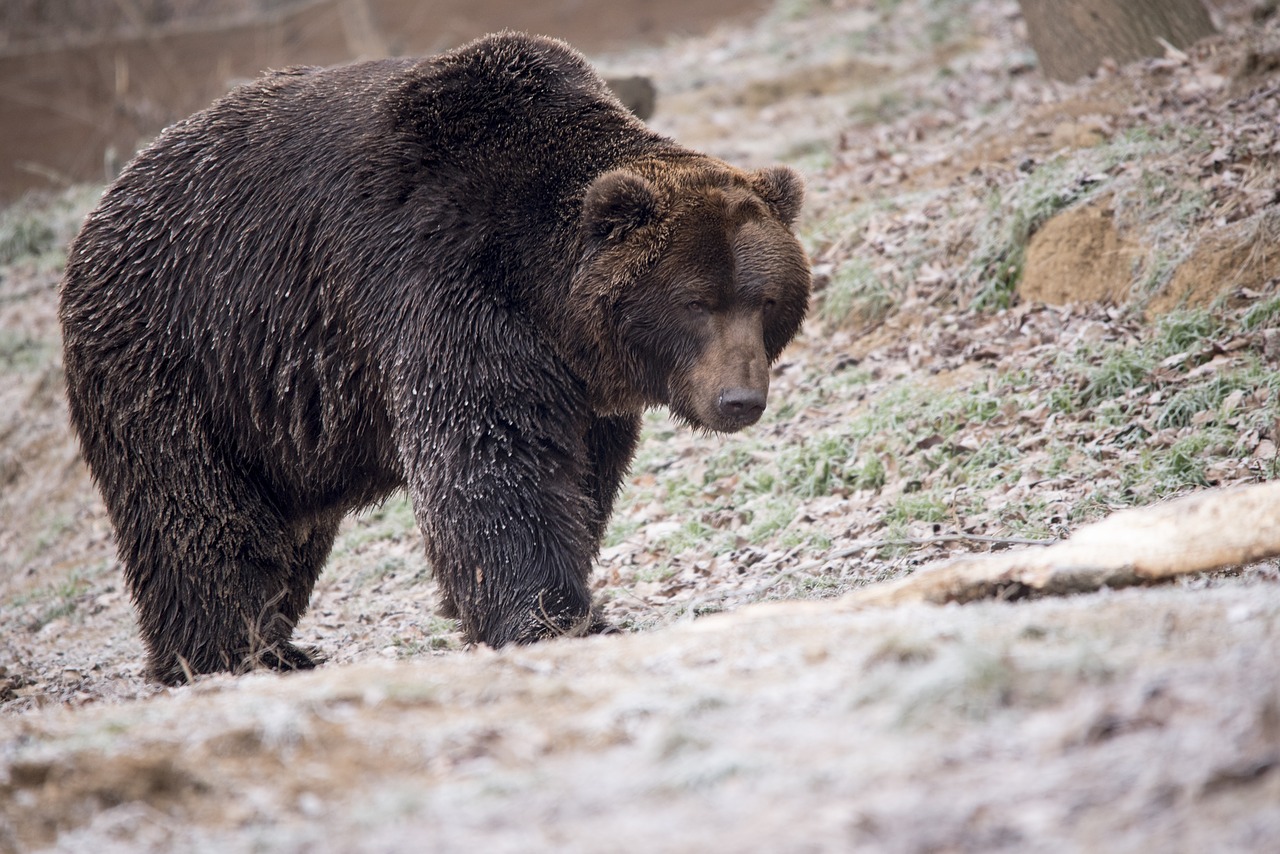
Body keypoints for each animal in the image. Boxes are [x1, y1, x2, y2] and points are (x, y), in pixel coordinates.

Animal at [57, 33, 808, 686]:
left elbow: (581, 473)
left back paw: (271, 644)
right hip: (180, 356)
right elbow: (491, 461)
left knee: (288, 528)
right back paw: (223, 654)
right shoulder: (440, 284)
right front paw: (549, 617)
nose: (739, 400)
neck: (543, 291)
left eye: (765, 299)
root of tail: (105, 206)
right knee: (195, 512)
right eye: (697, 302)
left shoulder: (581, 382)